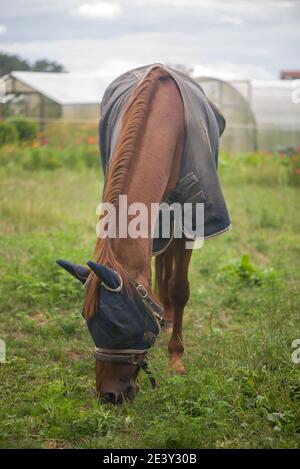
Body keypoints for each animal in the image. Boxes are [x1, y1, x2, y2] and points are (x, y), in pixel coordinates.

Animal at [56, 64, 230, 404]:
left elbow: (180, 287)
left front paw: (176, 358)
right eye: (88, 322)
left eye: (120, 326)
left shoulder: (190, 219)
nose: (109, 395)